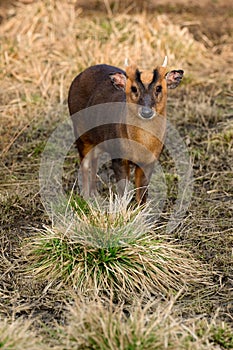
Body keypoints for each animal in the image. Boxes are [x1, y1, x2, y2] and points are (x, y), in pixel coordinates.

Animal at [68, 57, 184, 204]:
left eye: (159, 87)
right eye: (133, 88)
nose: (146, 112)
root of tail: (78, 76)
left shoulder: (150, 160)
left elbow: (142, 193)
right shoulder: (118, 156)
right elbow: (123, 191)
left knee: (95, 160)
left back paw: (94, 193)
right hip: (80, 131)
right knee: (85, 163)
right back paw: (86, 196)